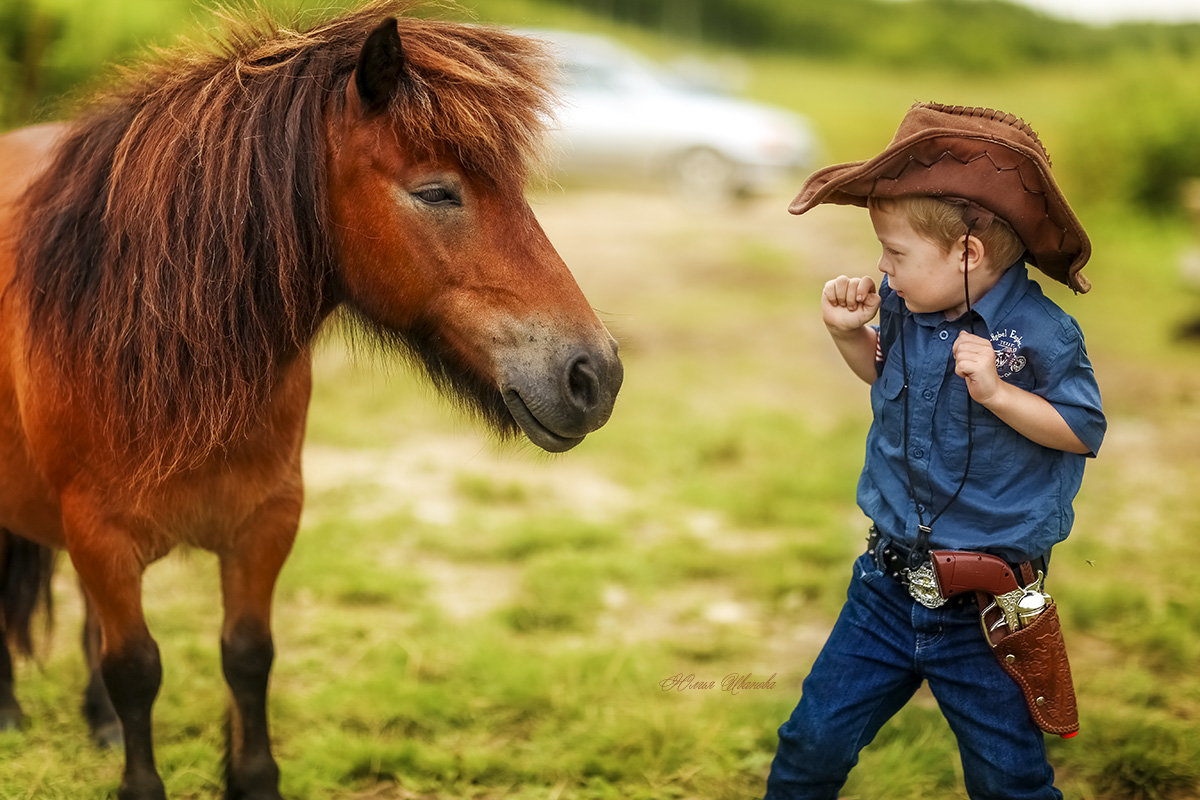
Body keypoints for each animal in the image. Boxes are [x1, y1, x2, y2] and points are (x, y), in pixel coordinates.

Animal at [0, 3, 624, 796]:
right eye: (436, 191)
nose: (593, 375)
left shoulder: (265, 523)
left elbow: (246, 656)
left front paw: (248, 776)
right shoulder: (101, 538)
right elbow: (136, 668)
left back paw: (99, 725)